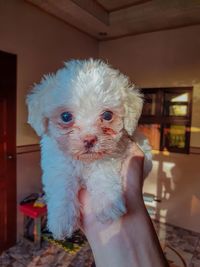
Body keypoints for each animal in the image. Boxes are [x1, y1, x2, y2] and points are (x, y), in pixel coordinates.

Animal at [26, 58, 152, 241]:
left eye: (107, 115)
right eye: (66, 116)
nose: (89, 139)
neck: (84, 161)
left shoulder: (113, 153)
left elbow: (102, 173)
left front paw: (107, 205)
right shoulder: (57, 162)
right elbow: (61, 184)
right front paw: (61, 220)